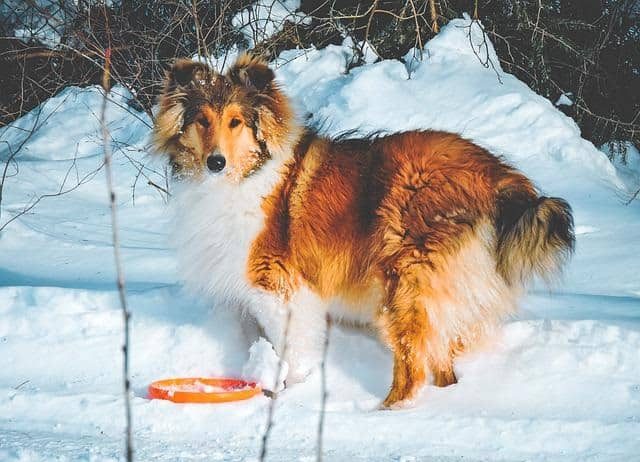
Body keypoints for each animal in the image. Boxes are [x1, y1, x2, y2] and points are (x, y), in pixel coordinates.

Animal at [151, 54, 576, 408]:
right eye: (202, 120)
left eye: (236, 122)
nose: (216, 162)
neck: (250, 173)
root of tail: (498, 177)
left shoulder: (279, 287)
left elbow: (294, 349)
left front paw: (289, 394)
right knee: (443, 369)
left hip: (404, 287)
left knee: (412, 372)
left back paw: (383, 413)